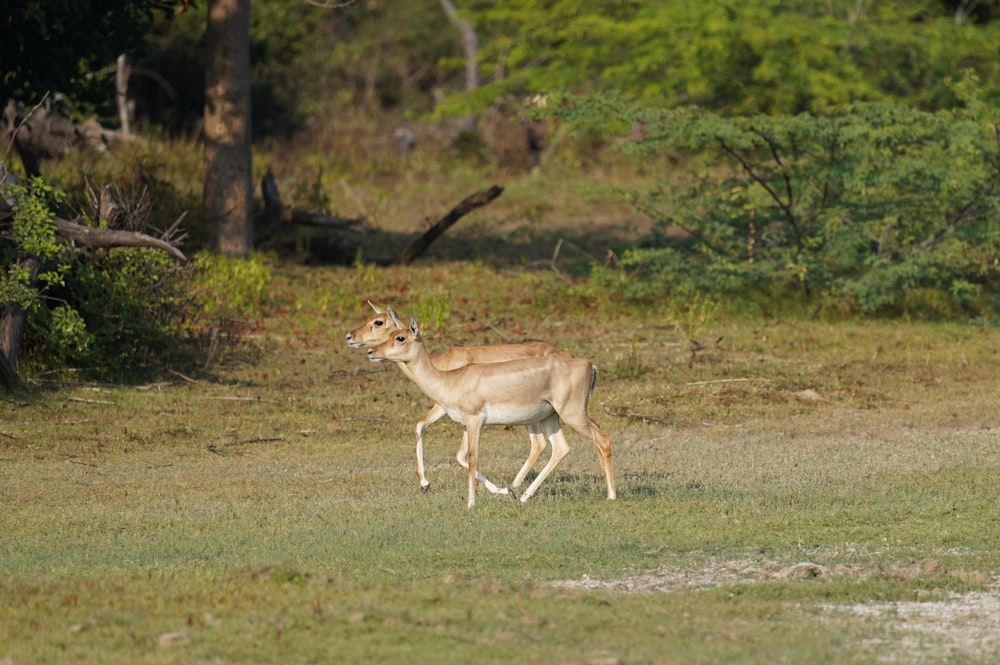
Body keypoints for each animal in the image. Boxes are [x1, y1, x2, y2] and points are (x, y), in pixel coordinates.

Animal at [344, 300, 568, 492]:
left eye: (378, 322)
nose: (349, 337)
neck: (441, 366)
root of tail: (566, 355)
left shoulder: (454, 410)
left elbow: (456, 452)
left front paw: (428, 483)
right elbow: (421, 427)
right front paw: (426, 483)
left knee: (539, 443)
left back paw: (513, 486)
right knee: (539, 444)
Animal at [368, 320, 616, 506]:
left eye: (401, 337)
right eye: (390, 333)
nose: (372, 351)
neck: (450, 378)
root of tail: (589, 365)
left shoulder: (474, 420)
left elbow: (472, 457)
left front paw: (470, 503)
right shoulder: (466, 424)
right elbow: (464, 458)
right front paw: (505, 491)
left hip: (572, 415)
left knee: (602, 440)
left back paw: (611, 495)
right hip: (551, 418)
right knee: (560, 448)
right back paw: (523, 496)